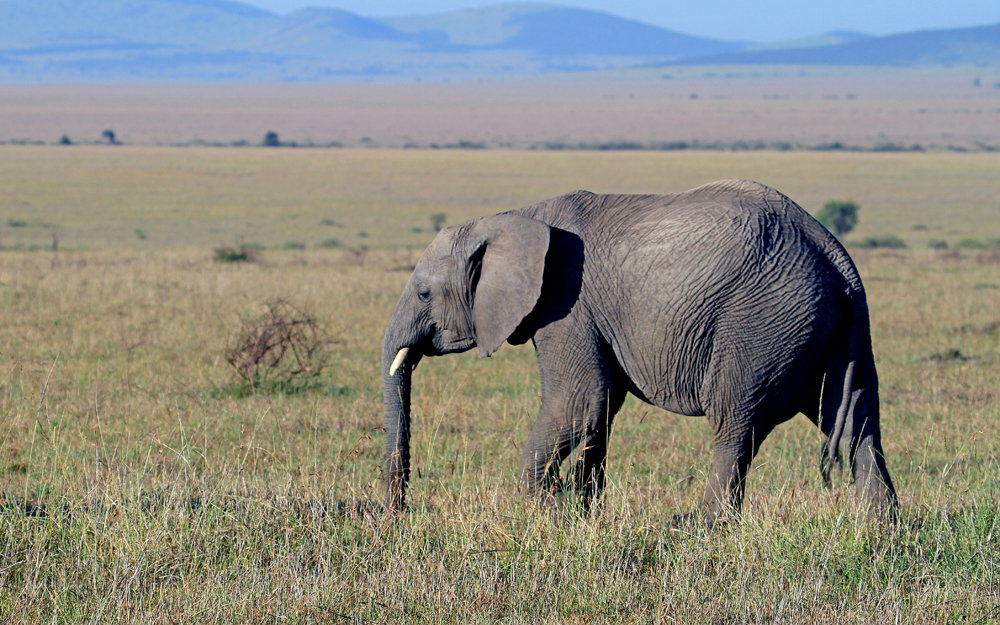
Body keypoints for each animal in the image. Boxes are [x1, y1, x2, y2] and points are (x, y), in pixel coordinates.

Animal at [380, 178, 900, 520]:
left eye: (424, 294)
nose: (399, 512)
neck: (513, 218)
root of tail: (835, 255)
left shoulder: (565, 303)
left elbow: (578, 403)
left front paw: (546, 516)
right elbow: (601, 409)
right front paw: (584, 514)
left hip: (762, 324)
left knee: (735, 424)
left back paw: (700, 527)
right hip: (833, 331)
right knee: (857, 425)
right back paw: (879, 530)